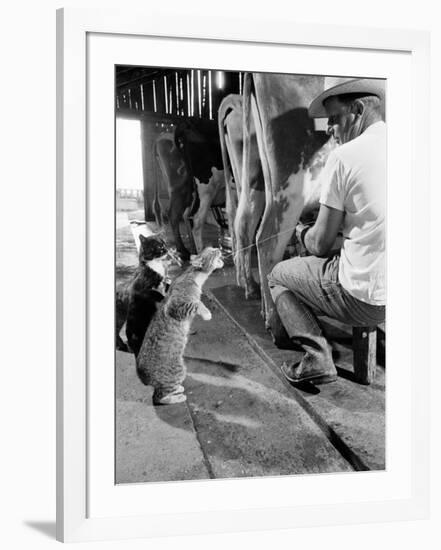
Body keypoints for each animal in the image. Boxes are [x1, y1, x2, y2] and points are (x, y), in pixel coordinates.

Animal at [137, 248, 223, 408]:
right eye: (212, 251)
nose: (219, 249)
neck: (193, 277)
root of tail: (142, 377)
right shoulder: (176, 307)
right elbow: (197, 303)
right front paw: (206, 313)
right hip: (179, 371)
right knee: (159, 397)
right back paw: (178, 397)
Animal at [220, 74, 336, 324]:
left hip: (256, 181)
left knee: (243, 221)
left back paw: (250, 288)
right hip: (291, 186)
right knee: (266, 239)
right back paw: (274, 319)